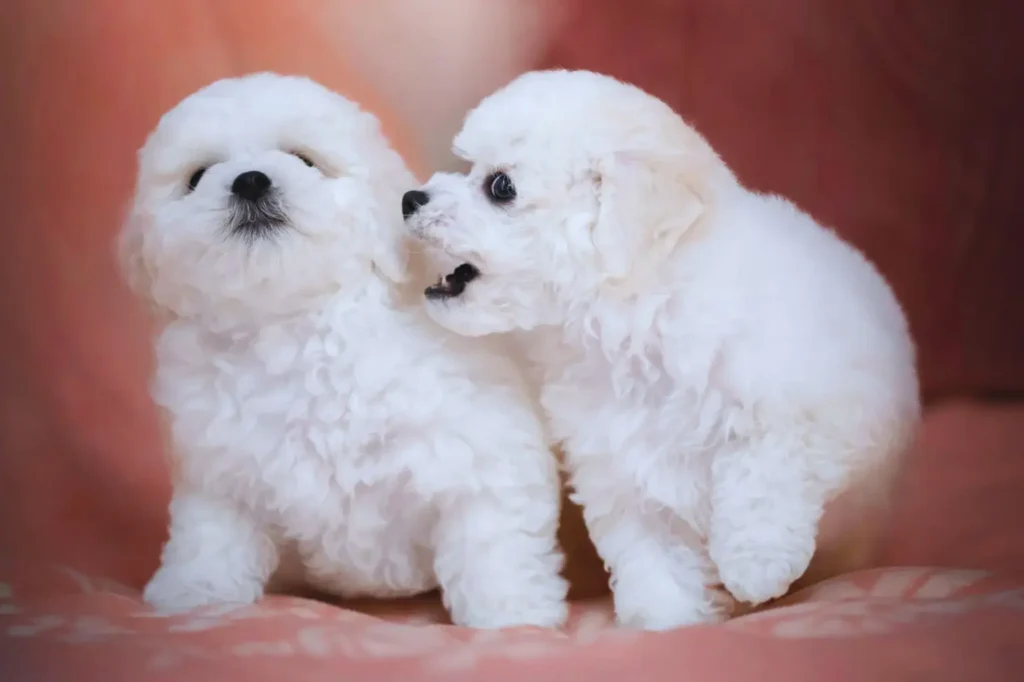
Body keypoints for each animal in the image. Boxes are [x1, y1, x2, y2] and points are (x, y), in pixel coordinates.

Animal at [120, 74, 573, 626]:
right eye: (197, 176)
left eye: (304, 158)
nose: (249, 181)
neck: (298, 325)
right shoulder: (217, 470)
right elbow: (212, 536)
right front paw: (195, 595)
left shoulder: (482, 455)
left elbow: (493, 541)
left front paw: (512, 617)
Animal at [403, 69, 925, 626]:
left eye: (500, 186)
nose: (410, 199)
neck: (642, 317)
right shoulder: (624, 474)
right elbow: (654, 557)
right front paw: (669, 620)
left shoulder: (807, 411)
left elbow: (764, 473)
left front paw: (755, 564)